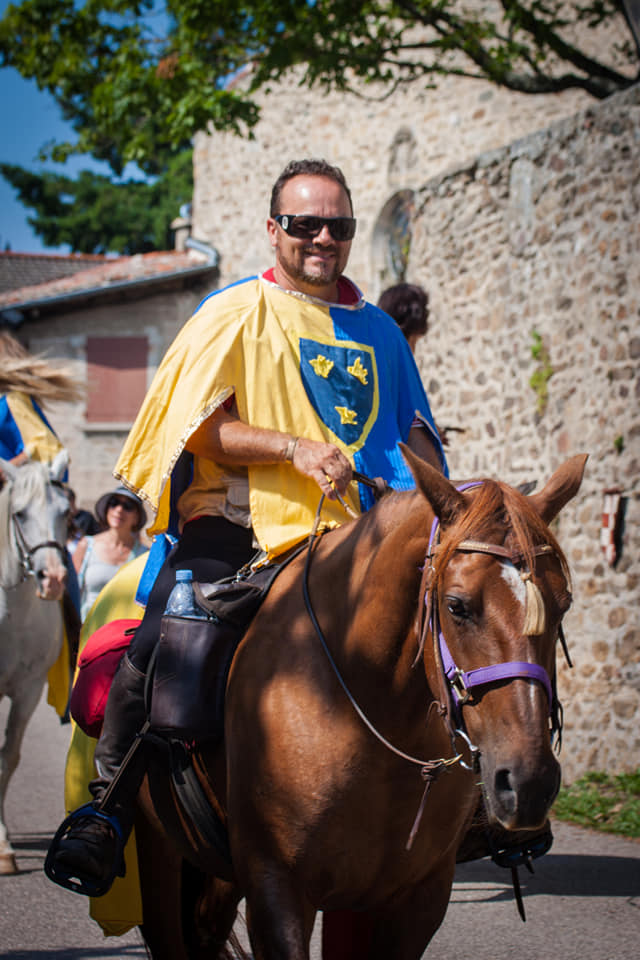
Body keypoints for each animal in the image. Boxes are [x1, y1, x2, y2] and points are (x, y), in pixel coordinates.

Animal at [134, 450, 584, 960]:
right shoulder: (276, 889)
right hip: (158, 856)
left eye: (563, 605)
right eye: (456, 605)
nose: (529, 783)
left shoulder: (418, 898)